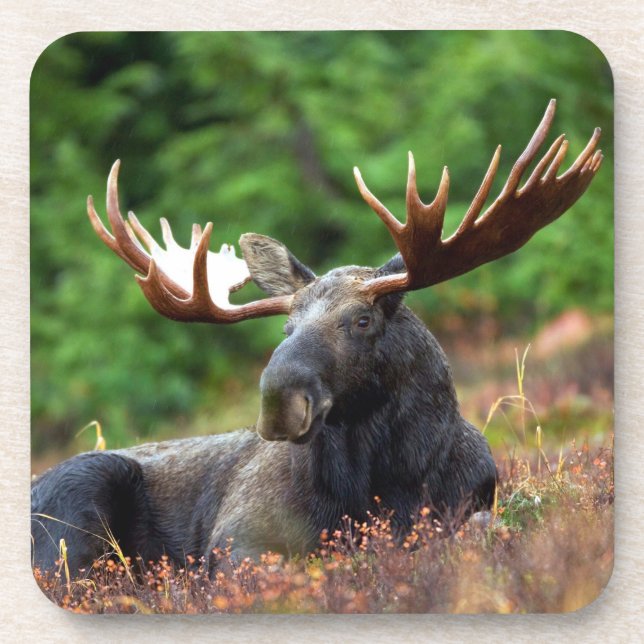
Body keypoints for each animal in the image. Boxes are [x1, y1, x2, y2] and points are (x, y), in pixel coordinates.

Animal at [31, 100, 602, 574]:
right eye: (287, 326)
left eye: (362, 320)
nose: (278, 402)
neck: (386, 484)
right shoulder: (236, 536)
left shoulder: (472, 503)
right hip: (78, 498)